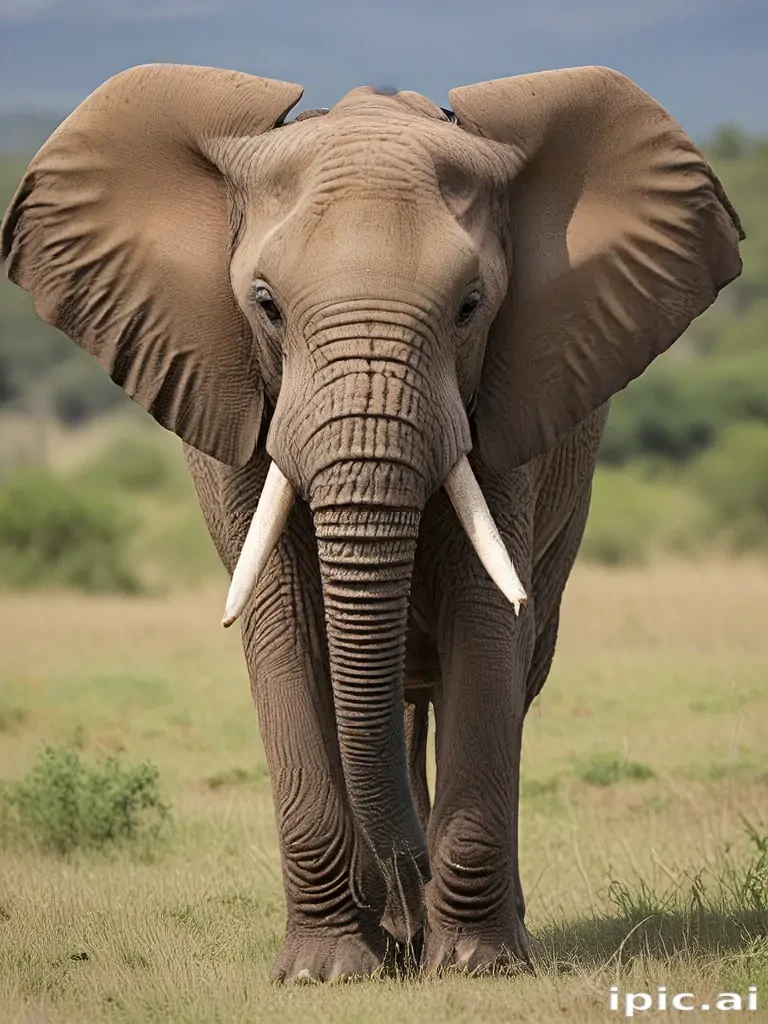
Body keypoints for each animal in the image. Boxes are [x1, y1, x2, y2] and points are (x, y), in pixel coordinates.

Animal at [1, 63, 743, 981]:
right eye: (266, 305)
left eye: (470, 306)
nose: (411, 876)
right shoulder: (231, 402)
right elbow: (280, 621)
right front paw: (325, 971)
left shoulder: (512, 404)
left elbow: (487, 623)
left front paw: (476, 964)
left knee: (502, 669)